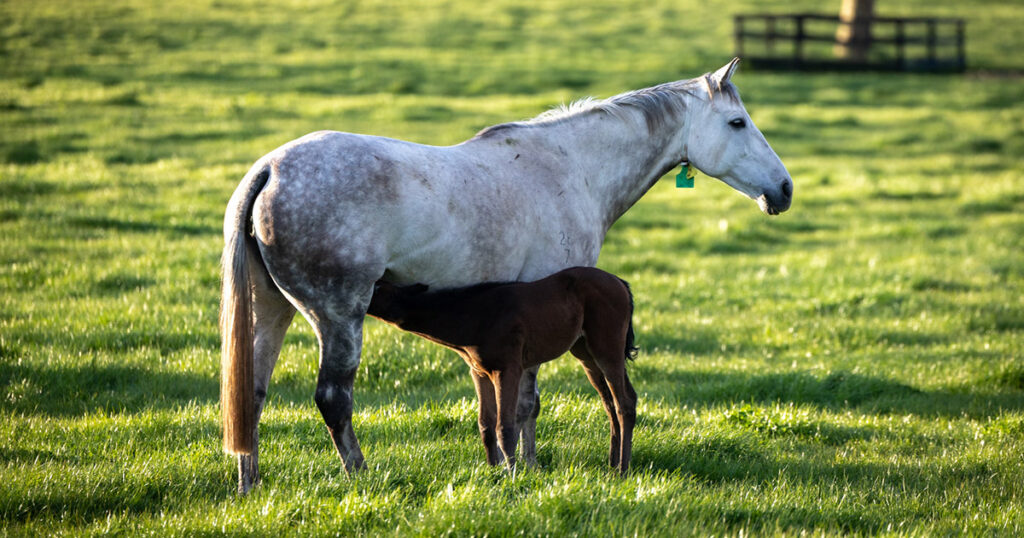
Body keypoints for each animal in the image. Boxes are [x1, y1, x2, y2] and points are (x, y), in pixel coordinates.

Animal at [367, 267, 639, 473]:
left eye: (378, 288)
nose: (359, 297)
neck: (474, 317)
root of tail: (620, 283)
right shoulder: (479, 371)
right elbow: (486, 425)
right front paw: (493, 473)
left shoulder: (508, 368)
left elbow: (504, 426)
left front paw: (513, 474)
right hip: (585, 353)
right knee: (612, 402)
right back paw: (612, 464)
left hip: (607, 347)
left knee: (624, 402)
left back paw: (623, 470)